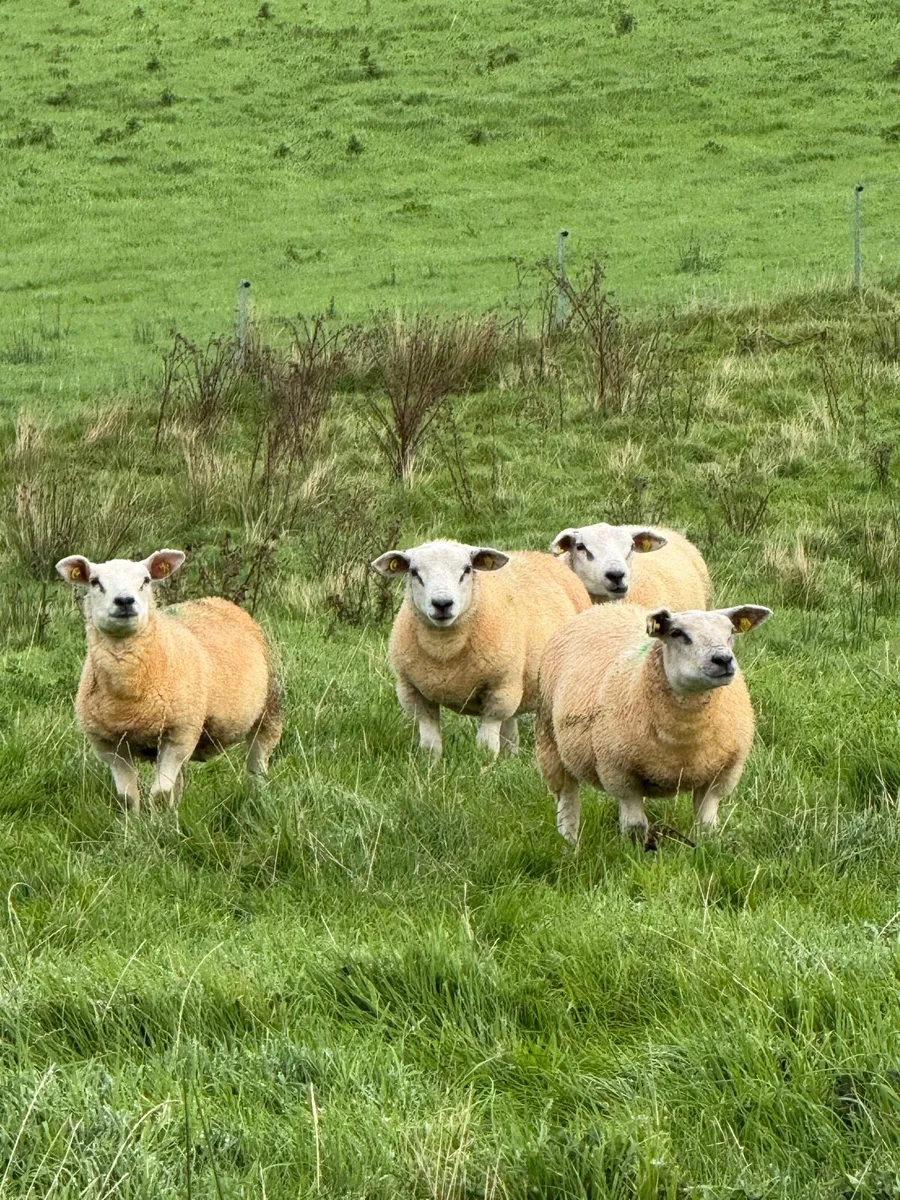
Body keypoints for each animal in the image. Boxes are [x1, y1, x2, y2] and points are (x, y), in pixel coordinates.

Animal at [56, 549, 282, 812]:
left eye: (145, 580)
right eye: (94, 581)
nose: (125, 601)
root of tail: (219, 600)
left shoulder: (179, 734)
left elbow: (160, 795)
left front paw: (160, 822)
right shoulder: (109, 745)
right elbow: (127, 798)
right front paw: (134, 824)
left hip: (270, 711)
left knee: (257, 766)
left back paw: (260, 801)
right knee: (180, 781)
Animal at [371, 539, 591, 757]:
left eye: (467, 570)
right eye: (414, 572)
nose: (442, 604)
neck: (444, 653)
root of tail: (539, 555)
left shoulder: (500, 691)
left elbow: (486, 745)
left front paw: (485, 764)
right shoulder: (412, 692)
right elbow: (430, 745)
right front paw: (432, 764)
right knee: (510, 730)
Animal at [535, 601, 772, 845]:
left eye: (731, 631)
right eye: (676, 633)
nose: (723, 659)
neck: (685, 738)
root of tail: (606, 605)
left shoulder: (722, 774)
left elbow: (706, 826)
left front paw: (704, 847)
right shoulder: (618, 773)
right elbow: (635, 827)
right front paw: (636, 851)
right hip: (549, 740)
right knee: (567, 801)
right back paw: (570, 844)